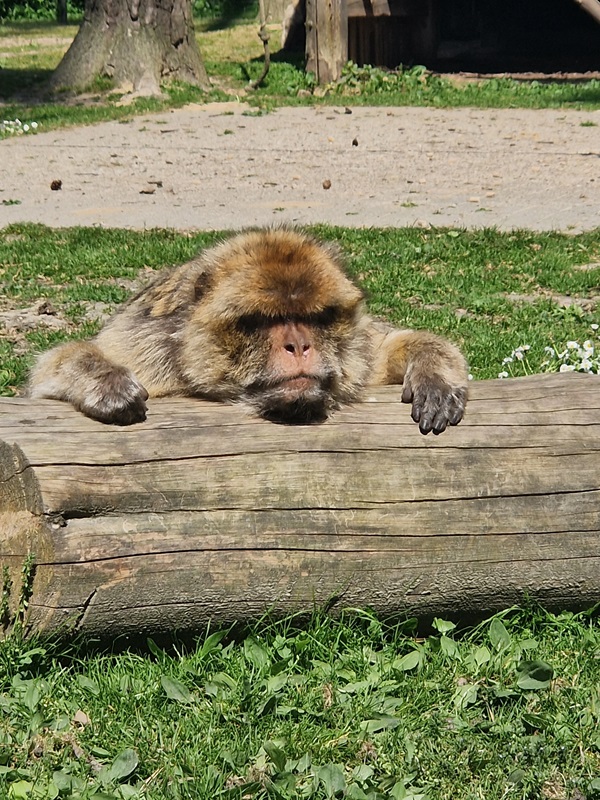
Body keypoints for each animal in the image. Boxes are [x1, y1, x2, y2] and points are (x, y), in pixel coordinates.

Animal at [28, 228, 468, 434]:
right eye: (262, 320)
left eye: (317, 317)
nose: (298, 344)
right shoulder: (148, 351)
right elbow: (51, 368)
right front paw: (109, 381)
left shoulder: (358, 351)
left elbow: (392, 343)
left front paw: (435, 376)